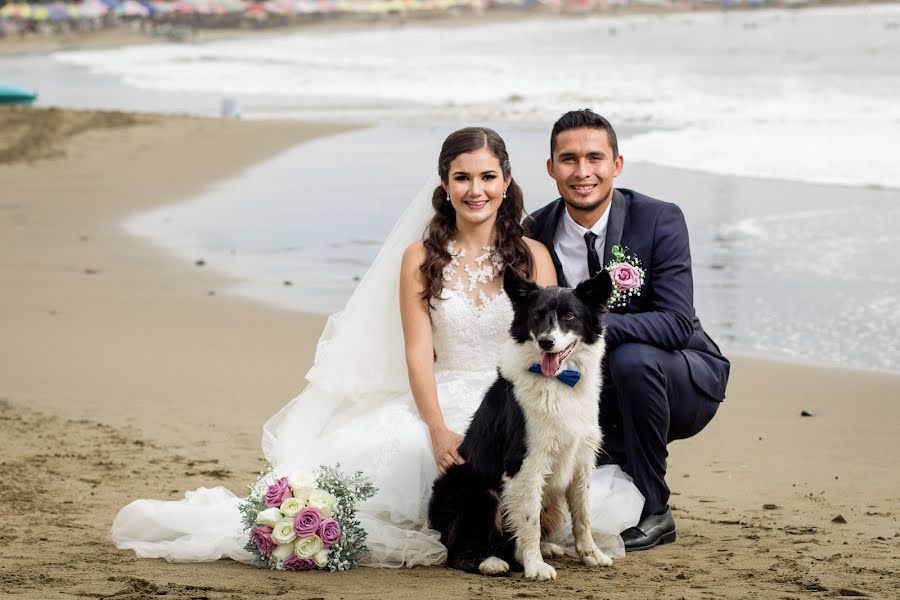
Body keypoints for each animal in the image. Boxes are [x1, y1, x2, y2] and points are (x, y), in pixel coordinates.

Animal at [428, 268, 612, 580]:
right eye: (537, 315)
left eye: (569, 316)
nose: (546, 342)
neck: (559, 382)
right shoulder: (525, 462)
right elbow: (528, 521)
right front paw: (535, 566)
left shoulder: (582, 459)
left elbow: (583, 515)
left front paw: (591, 555)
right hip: (477, 491)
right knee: (457, 550)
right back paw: (489, 562)